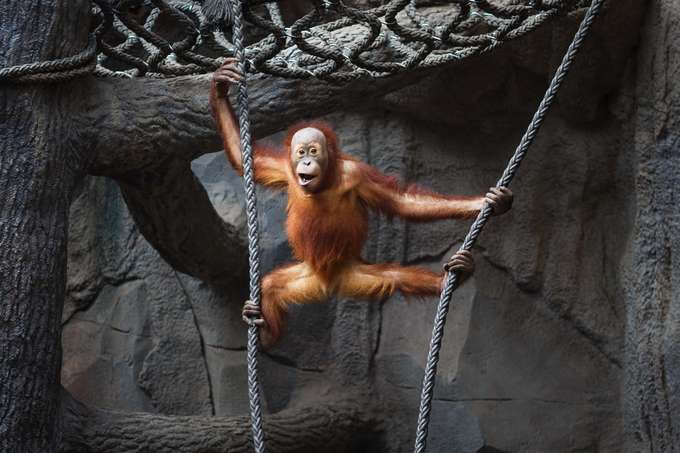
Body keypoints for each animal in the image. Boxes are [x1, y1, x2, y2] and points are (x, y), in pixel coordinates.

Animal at [210, 59, 513, 346]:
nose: (306, 162)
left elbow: (401, 202)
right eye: (300, 153)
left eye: (313, 151)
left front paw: (488, 202)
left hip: (355, 274)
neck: (323, 184)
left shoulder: (357, 175)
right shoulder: (285, 169)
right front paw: (221, 84)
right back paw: (265, 334)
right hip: (305, 277)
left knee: (394, 276)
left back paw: (451, 279)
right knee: (272, 286)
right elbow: (244, 159)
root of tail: (328, 284)